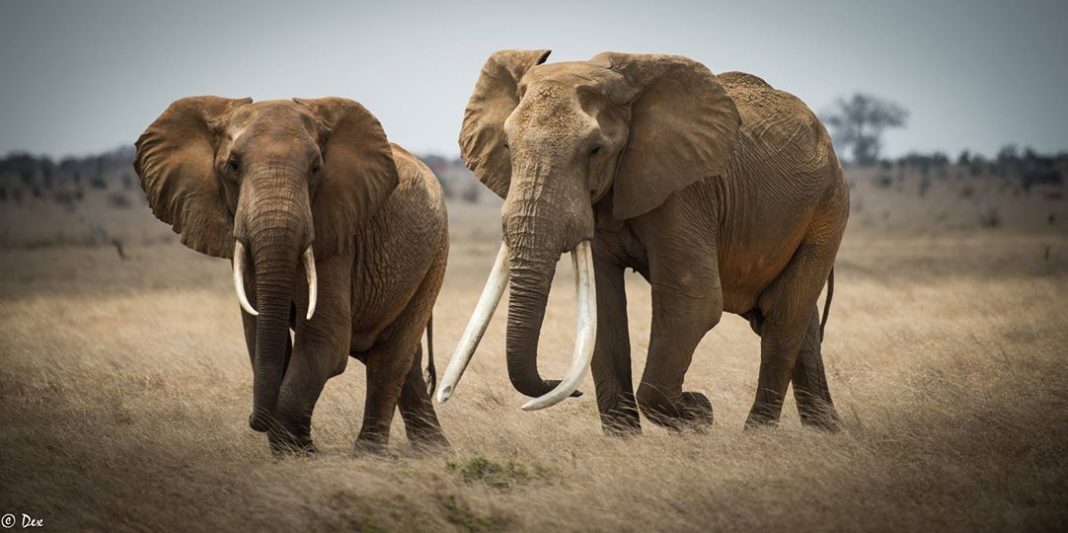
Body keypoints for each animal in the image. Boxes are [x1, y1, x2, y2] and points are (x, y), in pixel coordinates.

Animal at [134, 96, 450, 455]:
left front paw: (301, 454)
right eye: (233, 166)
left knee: (391, 356)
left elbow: (325, 342)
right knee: (403, 358)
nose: (253, 420)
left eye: (315, 169)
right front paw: (296, 451)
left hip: (434, 255)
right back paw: (433, 451)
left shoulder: (336, 238)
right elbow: (261, 336)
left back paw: (370, 454)